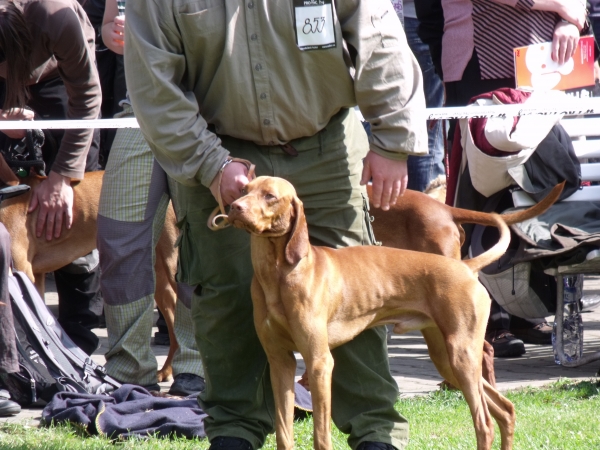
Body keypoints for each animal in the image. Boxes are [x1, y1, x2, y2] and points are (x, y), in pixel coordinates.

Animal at [228, 176, 522, 450]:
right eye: (243, 190)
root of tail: (466, 267)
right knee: (505, 409)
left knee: (484, 423)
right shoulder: (280, 361)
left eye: (270, 196)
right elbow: (283, 432)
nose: (234, 207)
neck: (276, 274)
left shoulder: (319, 362)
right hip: (447, 359)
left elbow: (321, 435)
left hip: (462, 354)